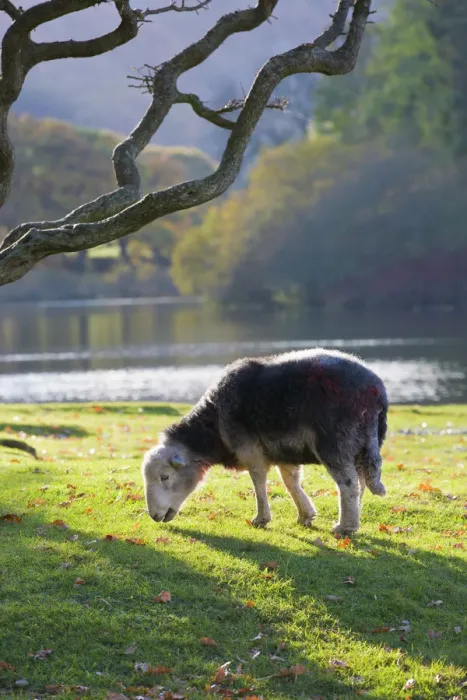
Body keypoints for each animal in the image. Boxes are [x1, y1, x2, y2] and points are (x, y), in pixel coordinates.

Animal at [141, 348, 388, 535]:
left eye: (165, 477)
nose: (153, 516)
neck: (214, 426)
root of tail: (374, 394)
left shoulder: (250, 450)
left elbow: (258, 482)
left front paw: (261, 519)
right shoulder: (284, 452)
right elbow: (290, 482)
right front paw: (305, 515)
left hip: (336, 443)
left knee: (348, 484)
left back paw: (345, 527)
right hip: (362, 444)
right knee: (361, 481)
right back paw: (354, 518)